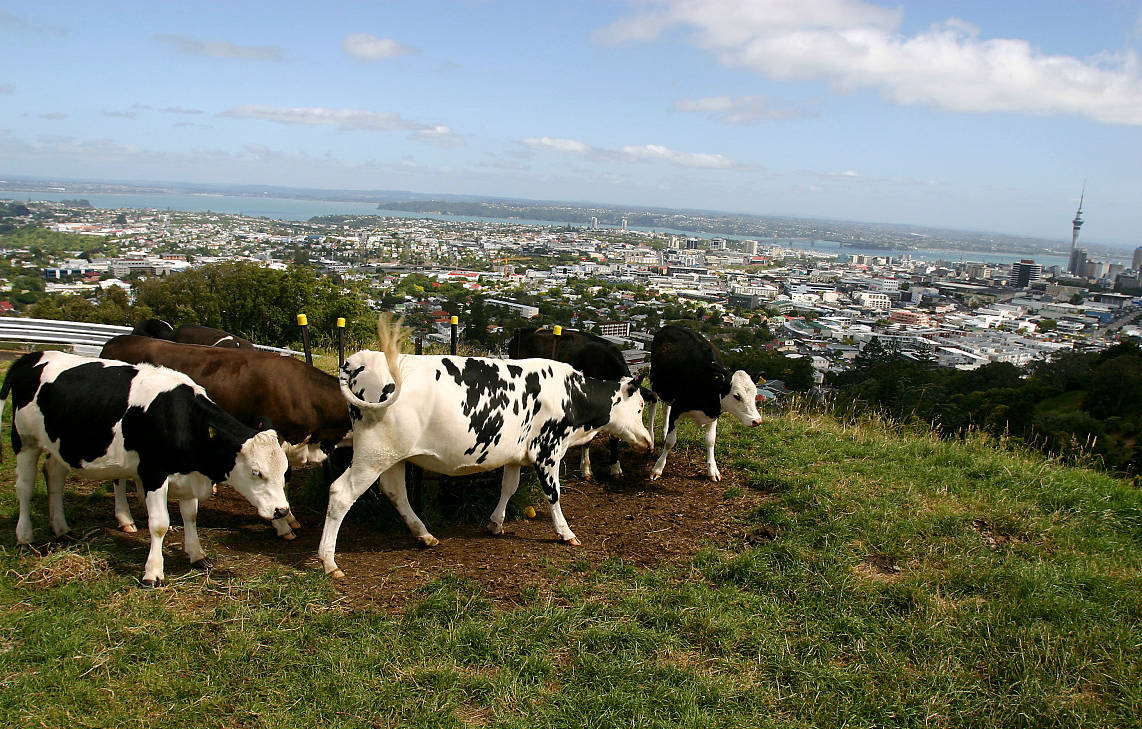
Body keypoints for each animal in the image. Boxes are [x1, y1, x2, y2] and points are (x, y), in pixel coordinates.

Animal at [2, 351, 287, 585]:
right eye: (256, 472)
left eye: (283, 472)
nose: (282, 510)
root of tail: (31, 357)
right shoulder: (153, 473)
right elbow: (160, 523)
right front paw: (153, 572)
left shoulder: (187, 475)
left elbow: (190, 515)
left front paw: (196, 555)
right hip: (25, 441)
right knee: (24, 488)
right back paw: (25, 536)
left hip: (60, 446)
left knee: (54, 475)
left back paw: (61, 529)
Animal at [315, 317, 653, 580]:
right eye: (639, 408)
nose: (648, 442)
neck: (572, 395)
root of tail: (362, 359)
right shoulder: (548, 451)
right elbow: (553, 495)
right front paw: (565, 532)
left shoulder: (516, 453)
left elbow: (509, 487)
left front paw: (495, 523)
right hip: (373, 453)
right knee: (340, 493)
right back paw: (329, 561)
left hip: (393, 454)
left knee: (395, 491)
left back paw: (424, 535)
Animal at [648, 329, 762, 482]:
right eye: (737, 396)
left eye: (755, 394)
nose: (757, 421)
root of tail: (670, 327)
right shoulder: (678, 409)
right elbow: (670, 442)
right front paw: (658, 468)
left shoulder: (714, 413)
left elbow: (710, 441)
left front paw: (712, 470)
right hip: (654, 382)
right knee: (653, 408)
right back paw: (651, 438)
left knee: (666, 408)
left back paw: (665, 431)